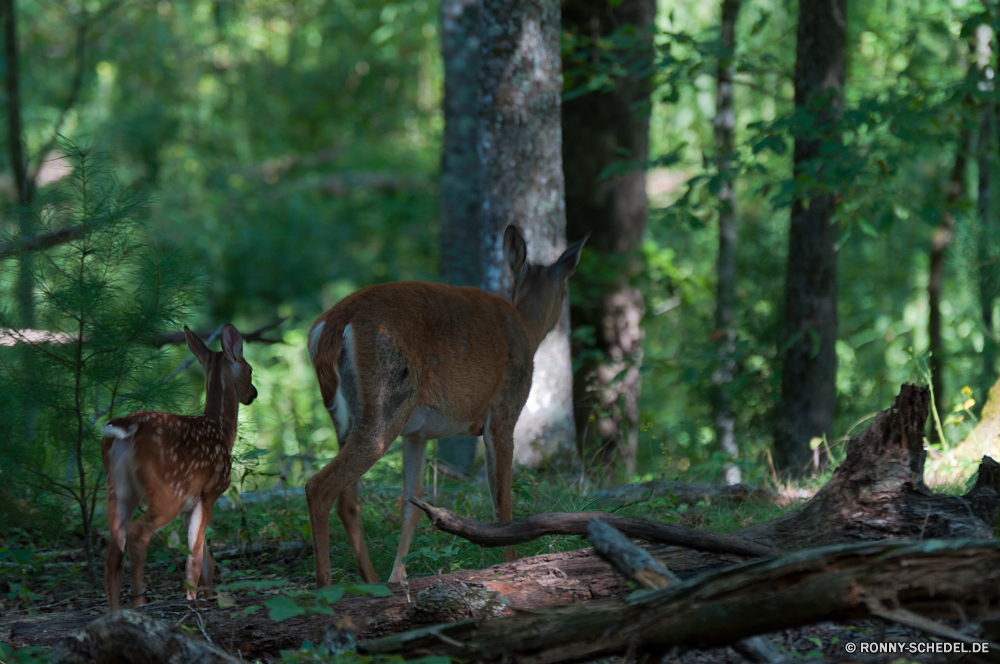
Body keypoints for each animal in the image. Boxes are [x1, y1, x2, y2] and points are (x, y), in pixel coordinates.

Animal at [101, 324, 256, 608]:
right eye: (249, 369)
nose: (253, 393)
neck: (223, 430)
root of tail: (127, 428)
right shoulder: (209, 493)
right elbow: (195, 556)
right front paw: (193, 599)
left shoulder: (190, 504)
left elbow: (205, 557)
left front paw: (205, 594)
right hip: (166, 490)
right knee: (137, 533)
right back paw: (139, 600)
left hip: (117, 488)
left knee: (114, 548)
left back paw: (116, 611)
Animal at [304, 226, 584, 584]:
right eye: (564, 289)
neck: (525, 328)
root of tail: (331, 326)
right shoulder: (504, 412)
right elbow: (502, 503)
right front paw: (509, 567)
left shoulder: (417, 434)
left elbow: (413, 502)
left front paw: (399, 576)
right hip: (387, 400)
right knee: (319, 487)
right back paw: (325, 584)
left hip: (346, 418)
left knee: (348, 501)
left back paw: (373, 582)